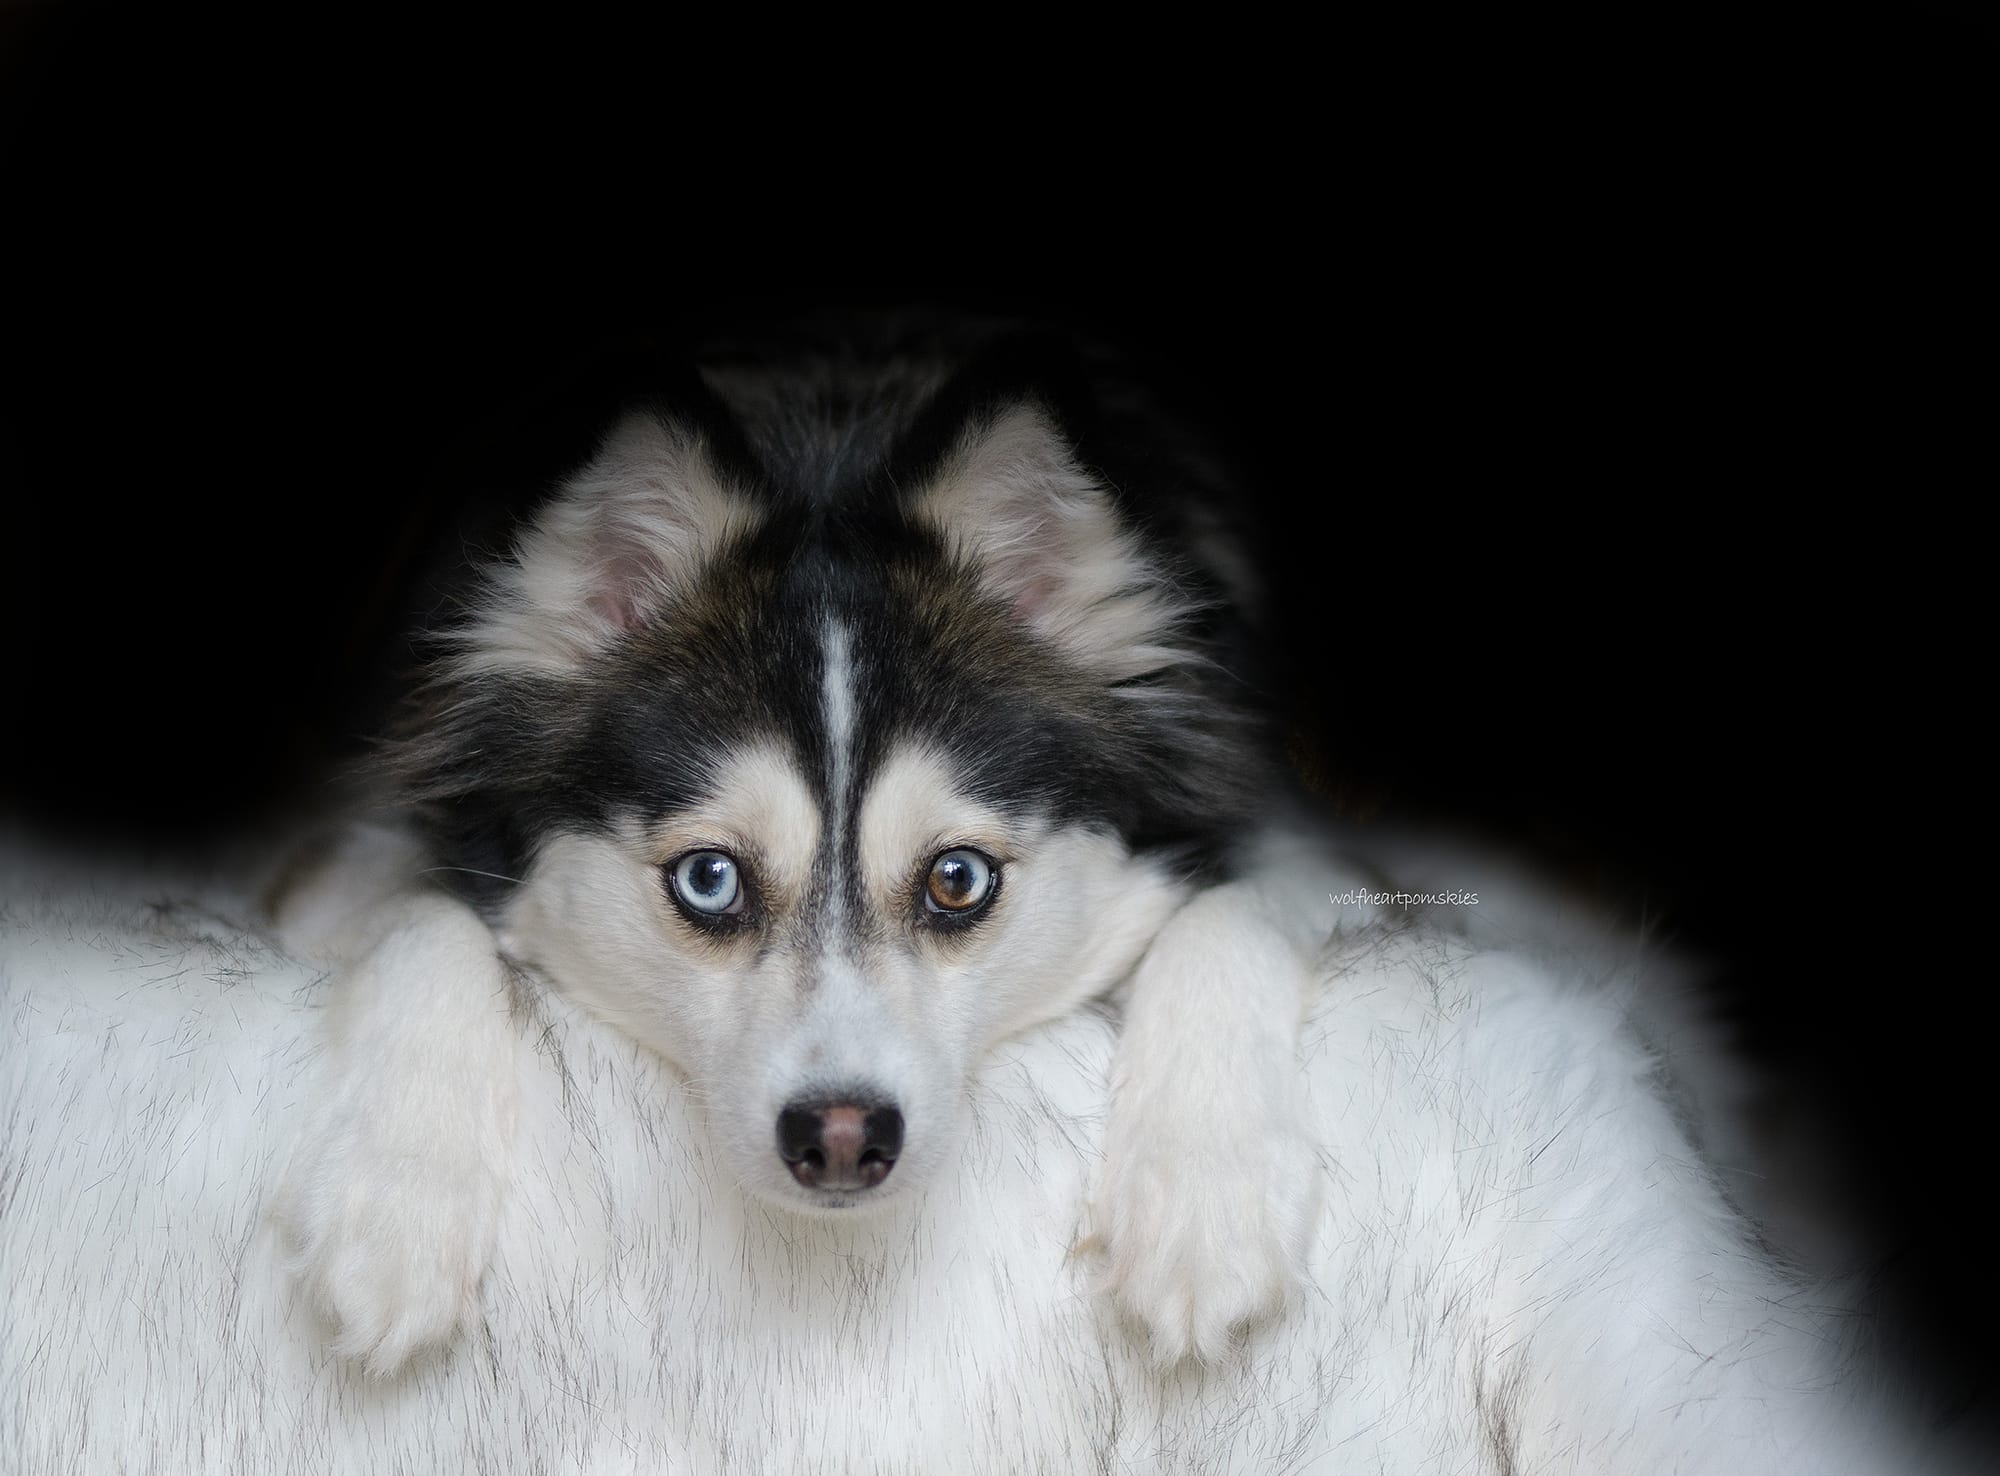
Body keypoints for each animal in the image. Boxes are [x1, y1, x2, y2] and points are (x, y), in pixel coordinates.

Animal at [274, 322, 1344, 1368]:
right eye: (710, 879)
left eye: (958, 879)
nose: (839, 1137)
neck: (831, 440)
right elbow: (426, 913)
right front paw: (399, 1203)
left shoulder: (1300, 839)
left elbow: (1232, 908)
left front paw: (1206, 1196)